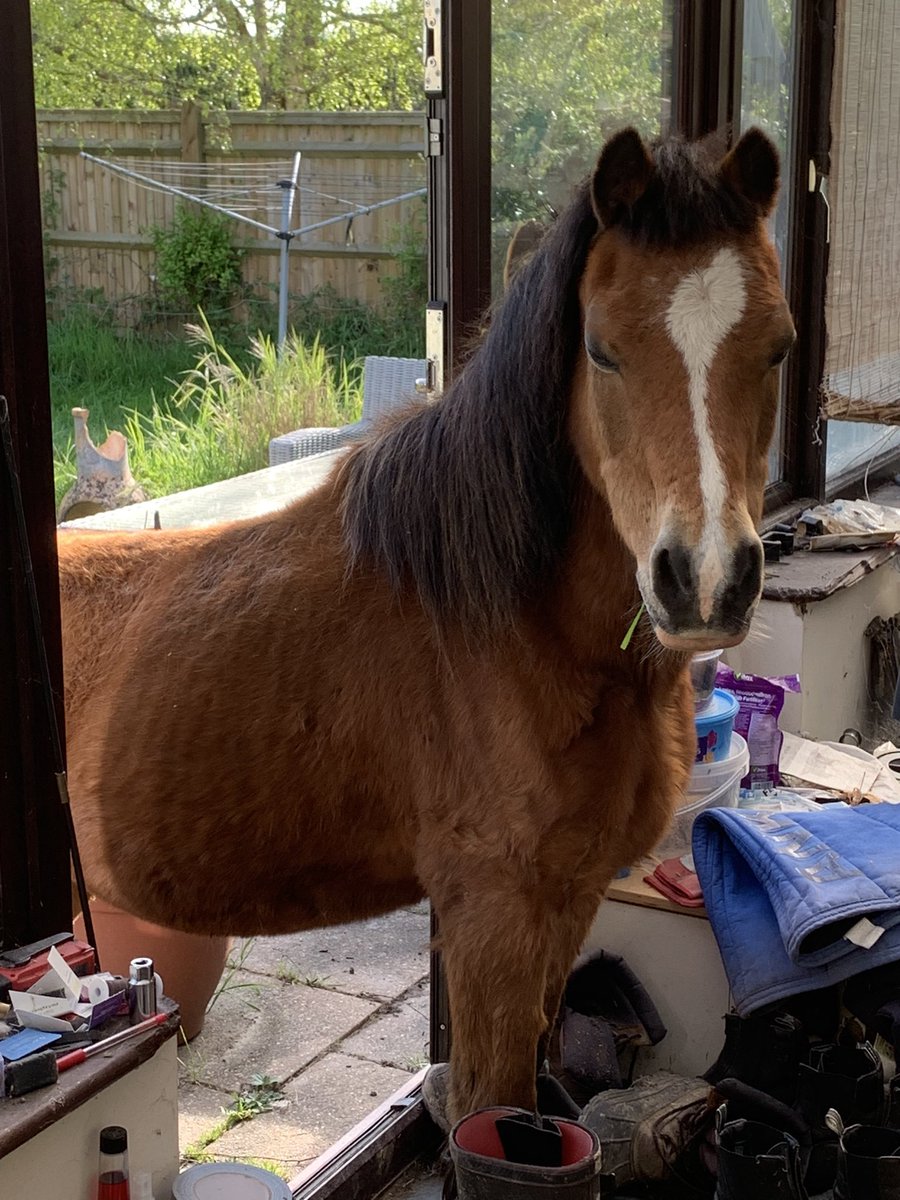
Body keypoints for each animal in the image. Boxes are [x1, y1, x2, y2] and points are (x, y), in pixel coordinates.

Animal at [58, 125, 794, 1124]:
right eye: (601, 350)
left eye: (779, 347)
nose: (706, 583)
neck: (514, 636)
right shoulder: (492, 920)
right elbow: (490, 1111)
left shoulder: (566, 900)